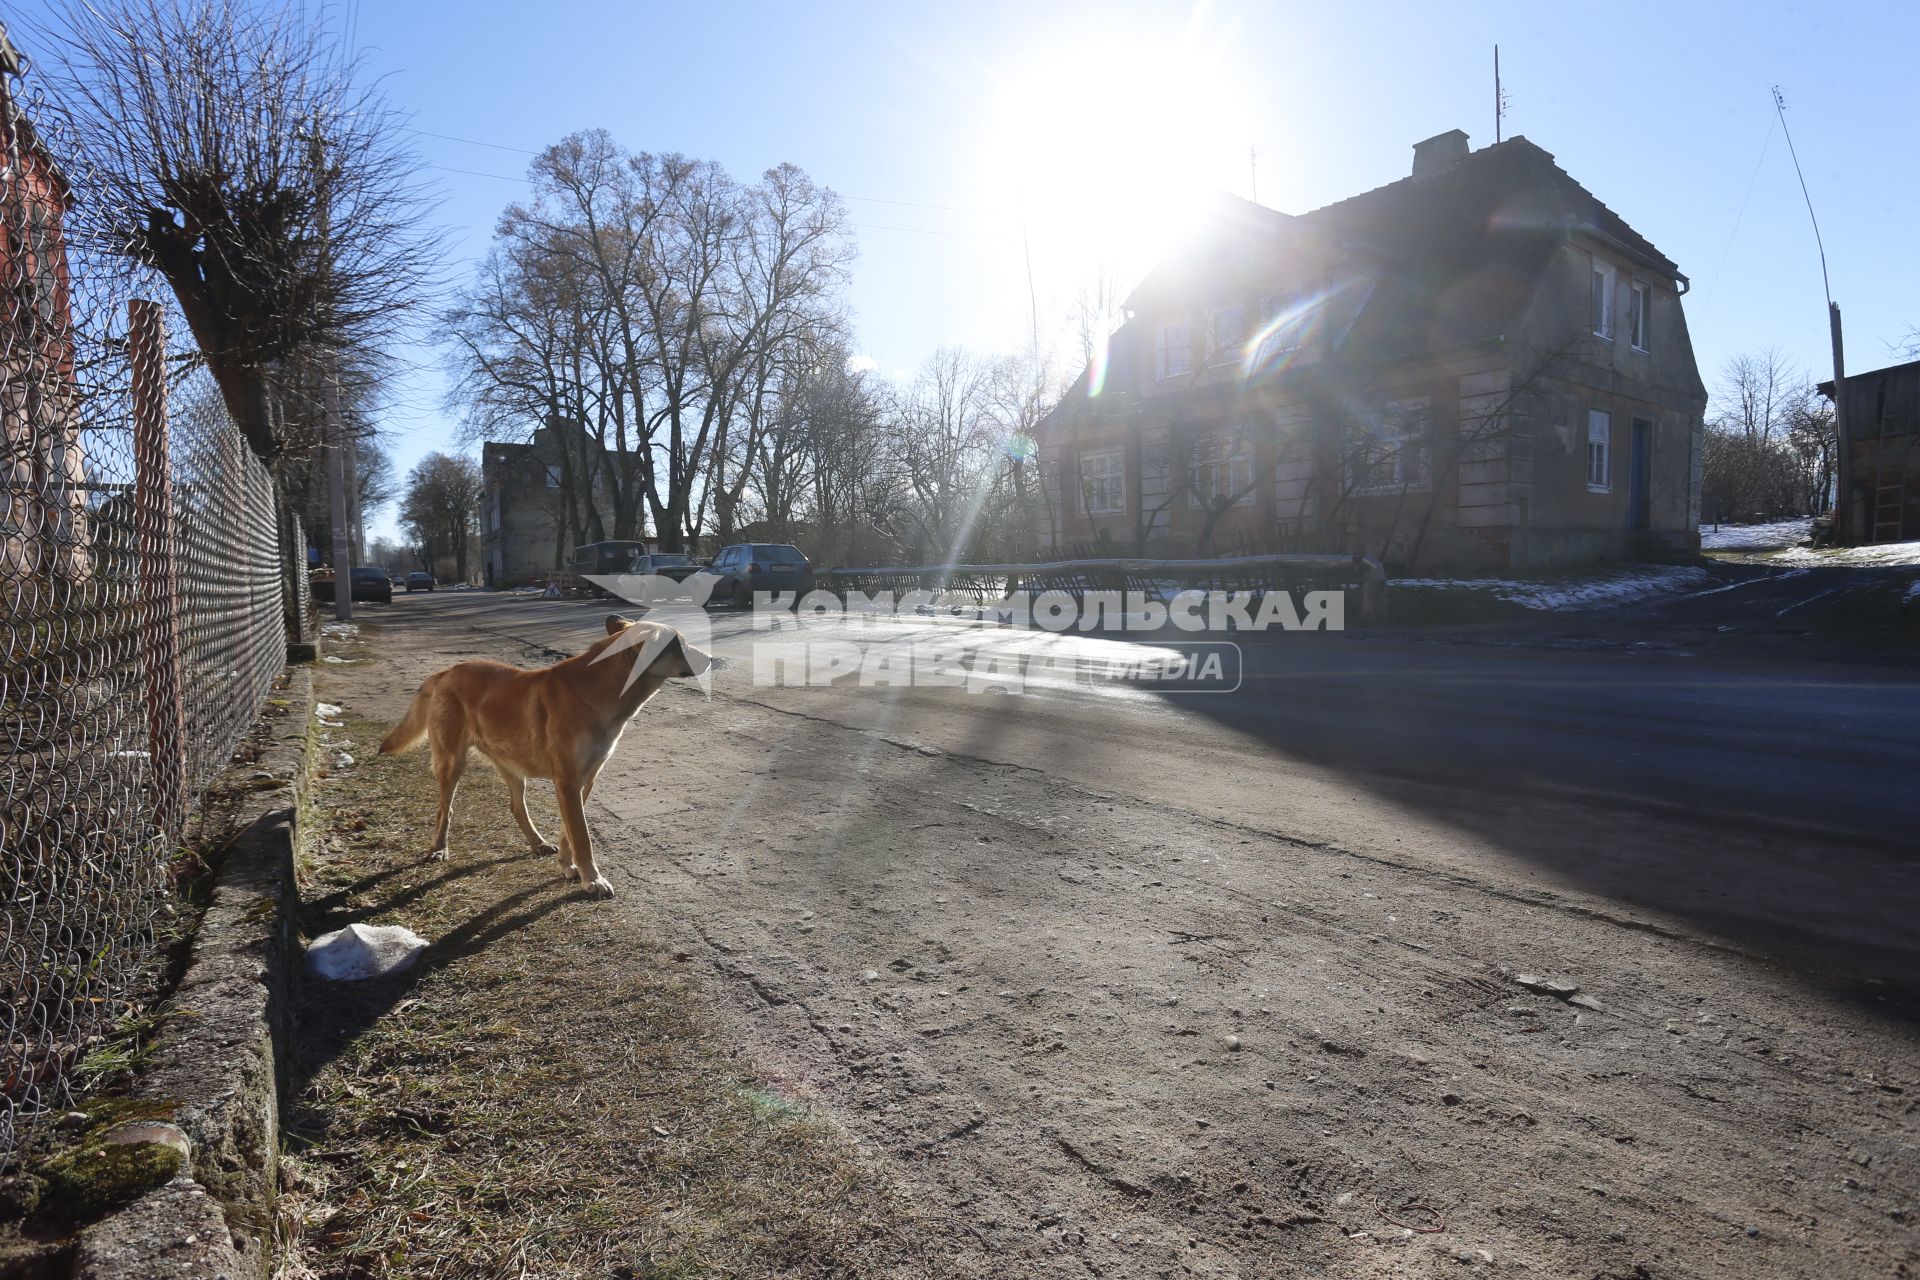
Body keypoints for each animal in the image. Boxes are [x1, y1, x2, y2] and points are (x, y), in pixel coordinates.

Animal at [378, 614, 710, 898]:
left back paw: (537, 843)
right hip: (451, 763)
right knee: (443, 810)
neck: (602, 689)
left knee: (515, 806)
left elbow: (569, 832)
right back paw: (438, 848)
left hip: (512, 766)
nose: (712, 659)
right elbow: (582, 837)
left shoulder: (583, 781)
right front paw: (593, 879)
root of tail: (446, 672)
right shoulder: (568, 782)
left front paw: (569, 867)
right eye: (679, 644)